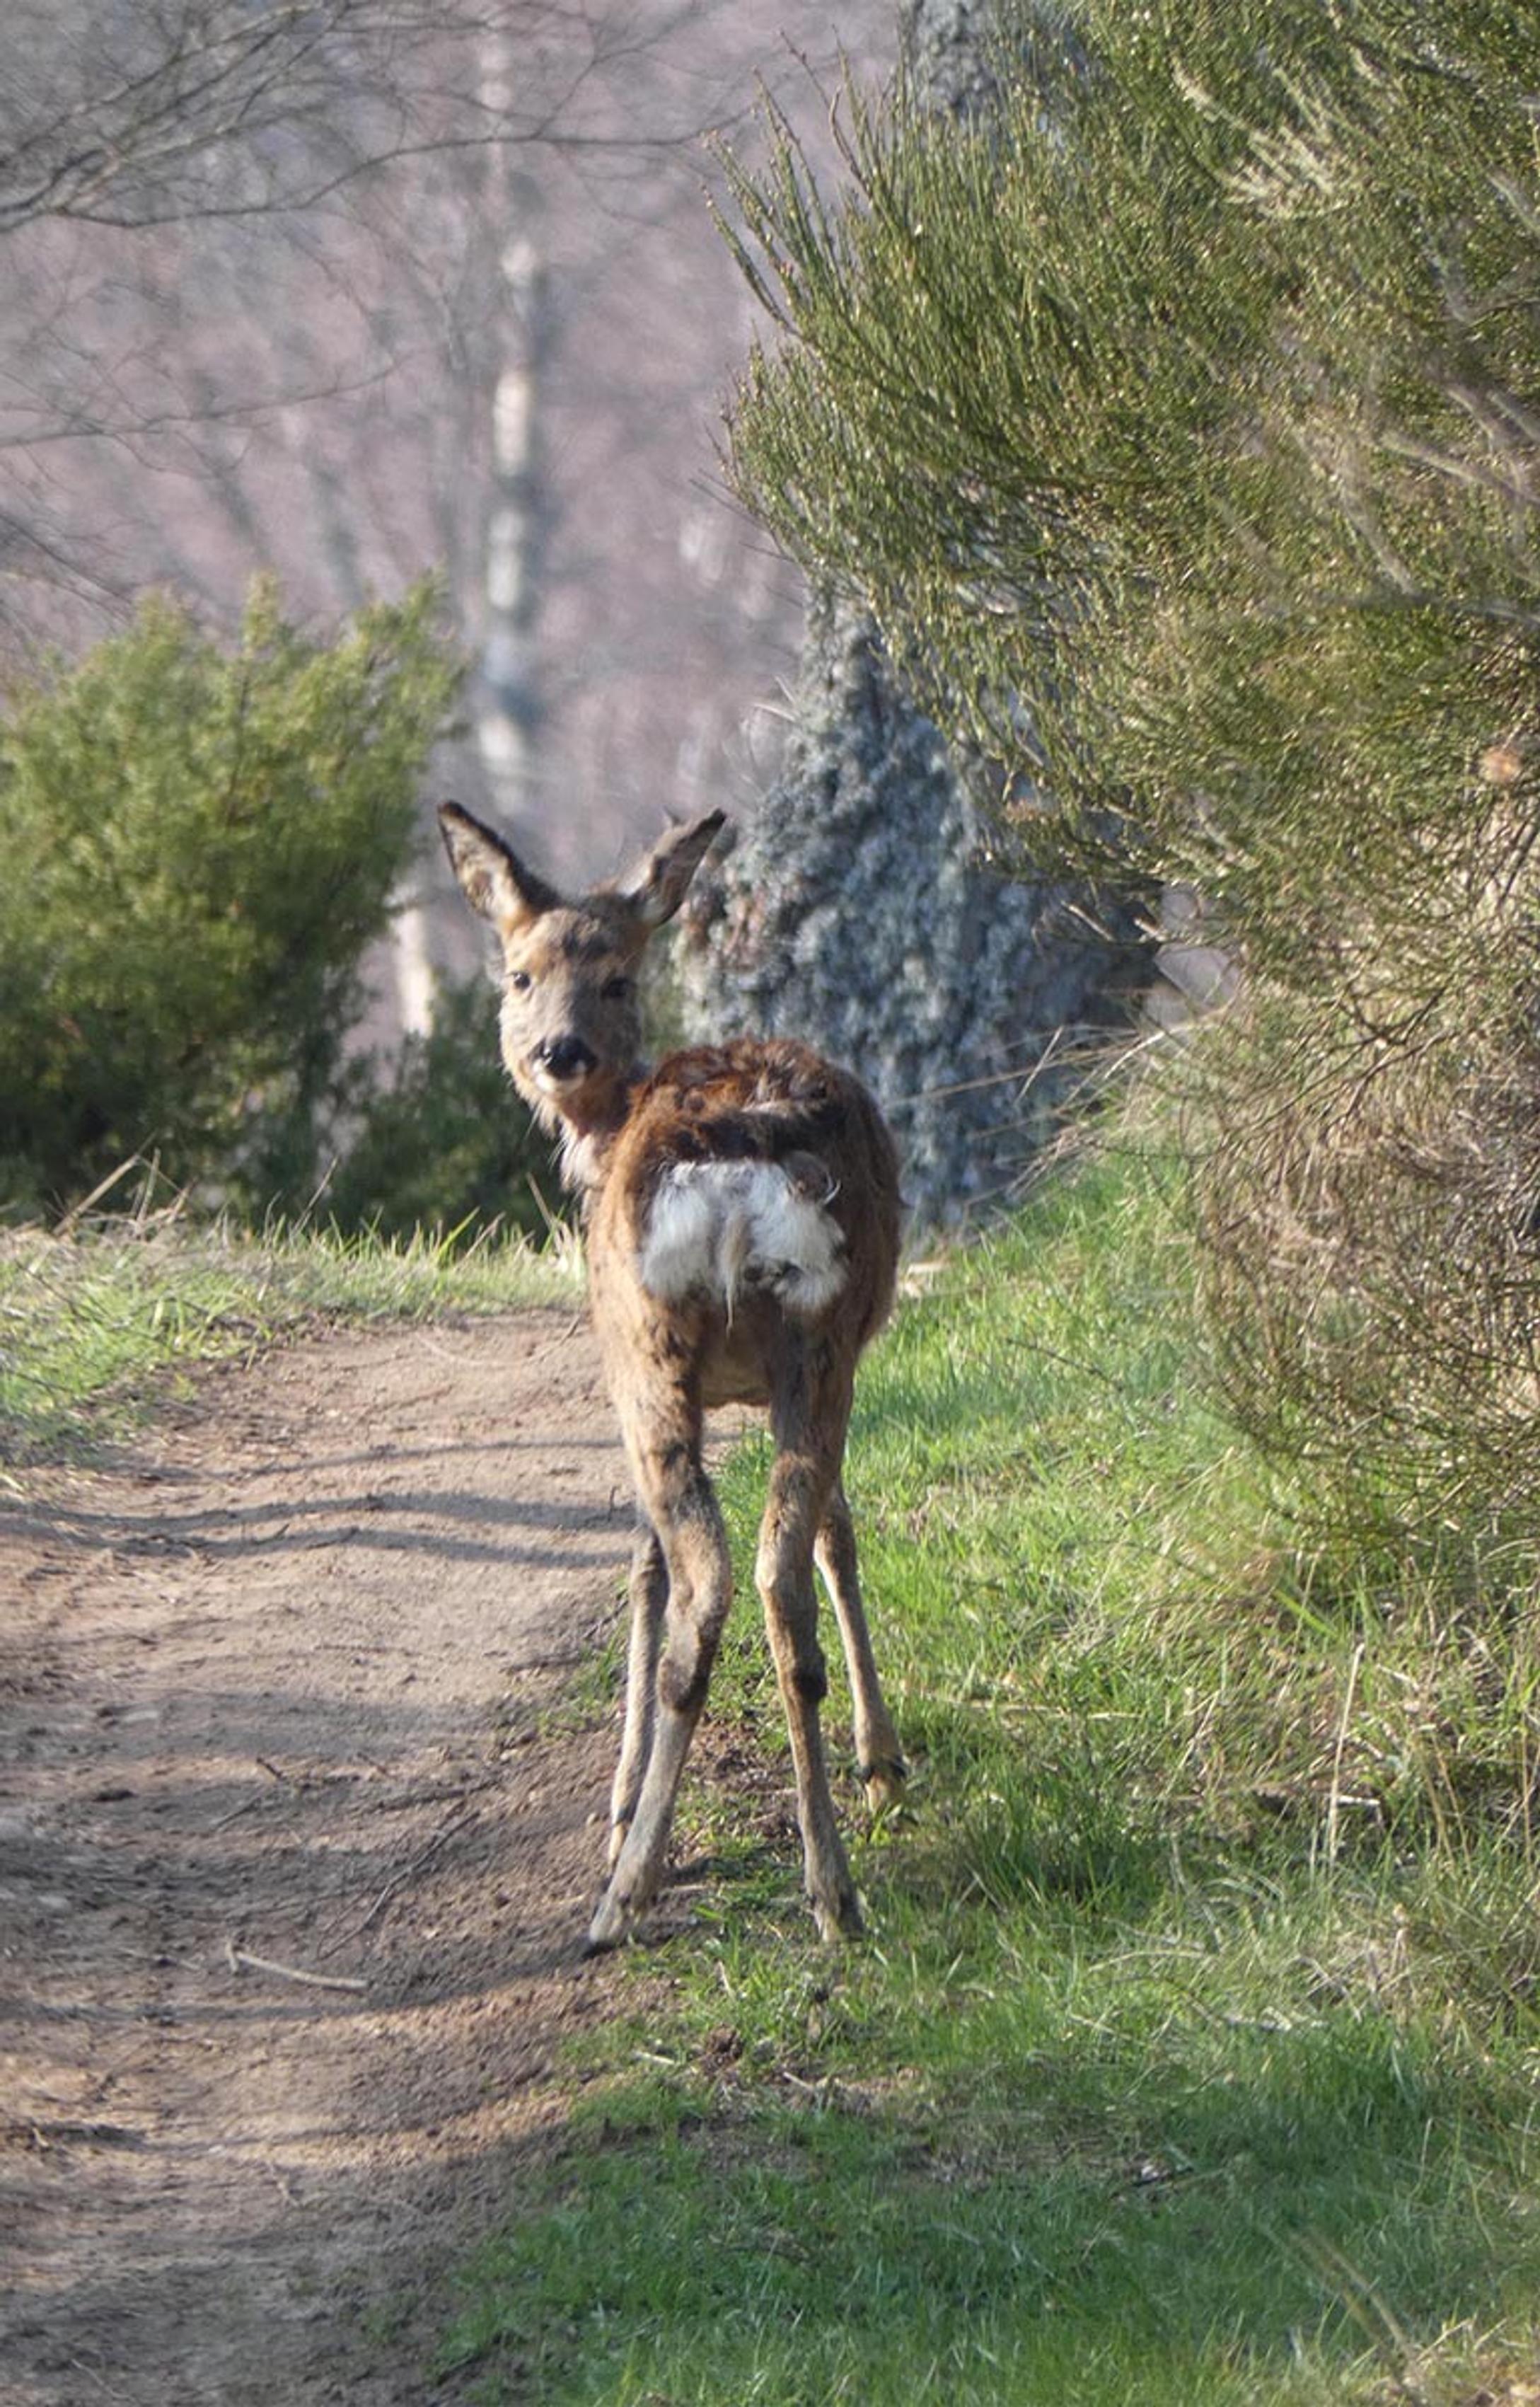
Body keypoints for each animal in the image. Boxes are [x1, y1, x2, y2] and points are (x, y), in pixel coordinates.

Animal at [438, 799, 909, 1944]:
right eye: (519, 974)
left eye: (616, 977)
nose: (556, 1051)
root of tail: (740, 1163)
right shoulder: (821, 1365)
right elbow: (835, 1531)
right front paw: (884, 1765)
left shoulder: (632, 1365)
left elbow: (643, 1565)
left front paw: (618, 1797)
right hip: (815, 1343)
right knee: (783, 1574)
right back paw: (832, 1889)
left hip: (650, 1346)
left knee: (705, 1585)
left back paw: (627, 1886)